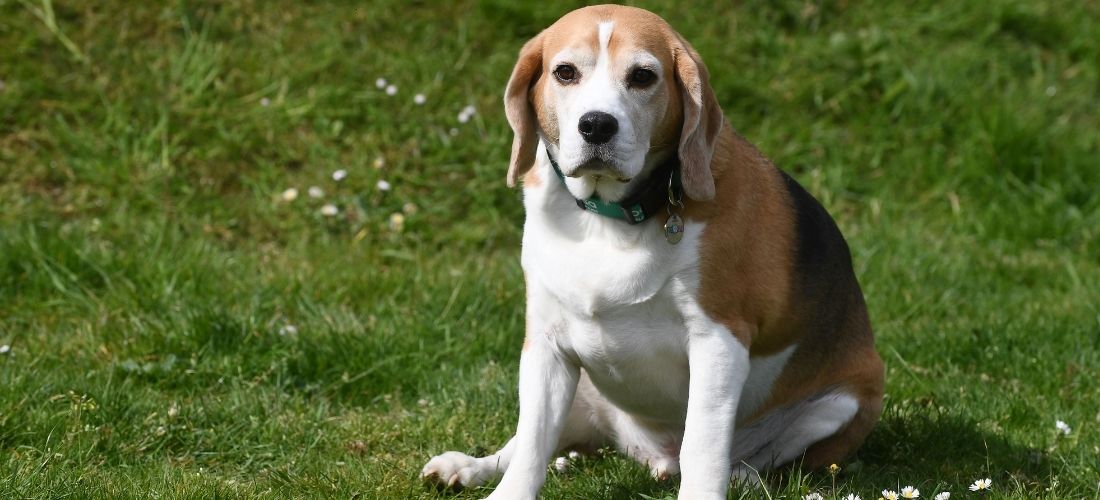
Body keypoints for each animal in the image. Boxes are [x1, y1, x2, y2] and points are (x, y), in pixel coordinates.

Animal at [422, 4, 884, 500]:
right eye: (565, 73)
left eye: (643, 76)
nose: (597, 124)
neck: (608, 216)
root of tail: (653, 458)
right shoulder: (545, 344)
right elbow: (531, 444)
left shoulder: (718, 340)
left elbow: (702, 444)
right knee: (527, 443)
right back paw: (470, 466)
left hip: (844, 401)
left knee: (764, 459)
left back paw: (742, 476)